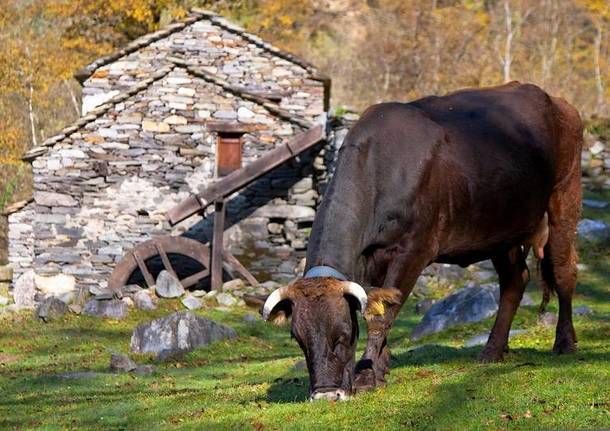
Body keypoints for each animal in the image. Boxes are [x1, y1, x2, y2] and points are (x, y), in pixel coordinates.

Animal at [260, 82, 580, 402]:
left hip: (564, 195)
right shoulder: (368, 259)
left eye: (341, 335)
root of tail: (555, 101)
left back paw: (564, 343)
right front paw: (379, 370)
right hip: (502, 230)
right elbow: (376, 309)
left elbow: (382, 315)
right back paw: (492, 351)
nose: (326, 395)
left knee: (563, 271)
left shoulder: (413, 250)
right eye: (299, 340)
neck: (381, 168)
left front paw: (366, 377)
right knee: (515, 281)